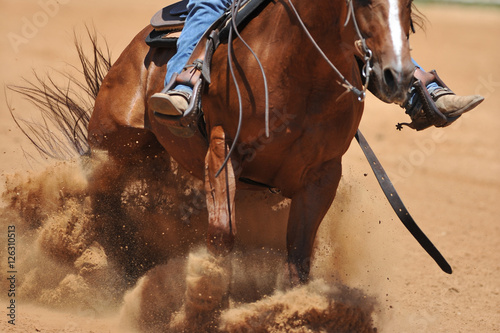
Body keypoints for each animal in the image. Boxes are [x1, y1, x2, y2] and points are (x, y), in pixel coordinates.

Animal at [89, 0, 414, 282]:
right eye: (362, 2)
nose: (397, 75)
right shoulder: (223, 149)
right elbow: (223, 232)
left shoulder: (324, 173)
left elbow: (298, 254)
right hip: (111, 144)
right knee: (100, 199)